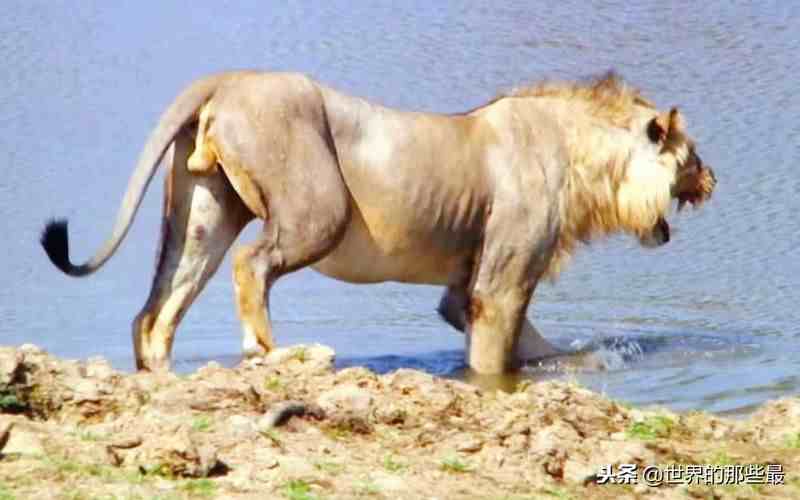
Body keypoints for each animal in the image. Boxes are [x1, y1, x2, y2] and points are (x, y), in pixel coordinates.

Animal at [40, 71, 720, 376]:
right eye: (692, 156)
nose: (714, 180)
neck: (588, 167)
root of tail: (227, 79)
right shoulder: (500, 283)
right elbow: (496, 355)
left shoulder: (464, 289)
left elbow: (535, 347)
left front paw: (580, 359)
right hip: (320, 211)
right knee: (251, 264)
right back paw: (270, 350)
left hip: (203, 213)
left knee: (157, 306)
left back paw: (159, 370)